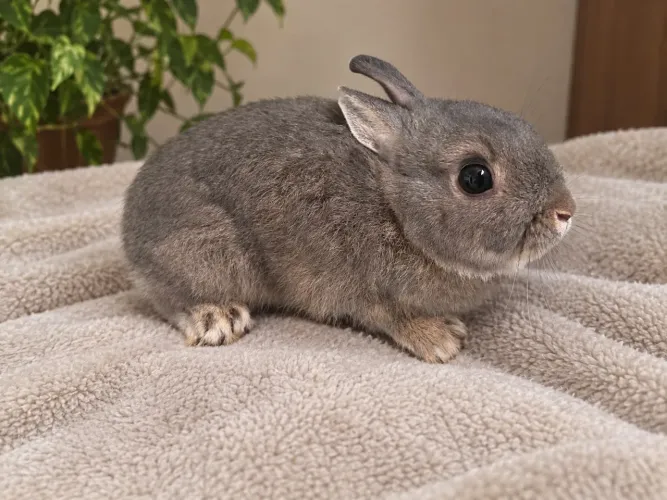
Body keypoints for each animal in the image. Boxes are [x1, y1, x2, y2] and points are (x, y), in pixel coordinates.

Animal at [121, 54, 576, 363]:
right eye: (475, 177)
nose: (565, 212)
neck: (395, 208)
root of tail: (129, 232)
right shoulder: (364, 290)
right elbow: (390, 316)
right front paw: (442, 338)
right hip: (212, 254)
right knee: (169, 298)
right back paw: (217, 319)